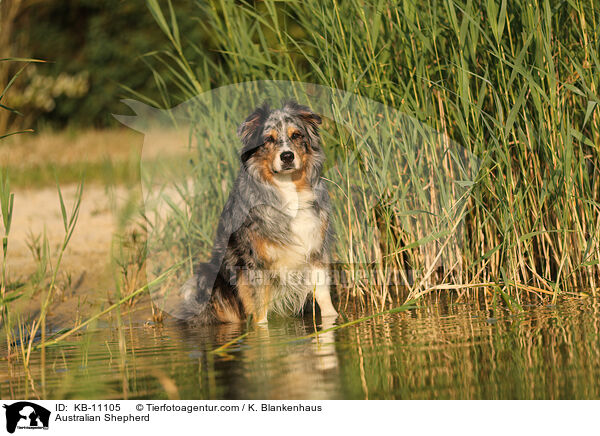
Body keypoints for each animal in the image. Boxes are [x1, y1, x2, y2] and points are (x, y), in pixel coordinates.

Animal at [178, 99, 338, 324]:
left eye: (296, 135)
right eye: (268, 139)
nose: (287, 156)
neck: (289, 191)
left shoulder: (316, 249)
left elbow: (324, 295)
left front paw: (333, 320)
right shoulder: (253, 264)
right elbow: (260, 311)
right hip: (209, 277)